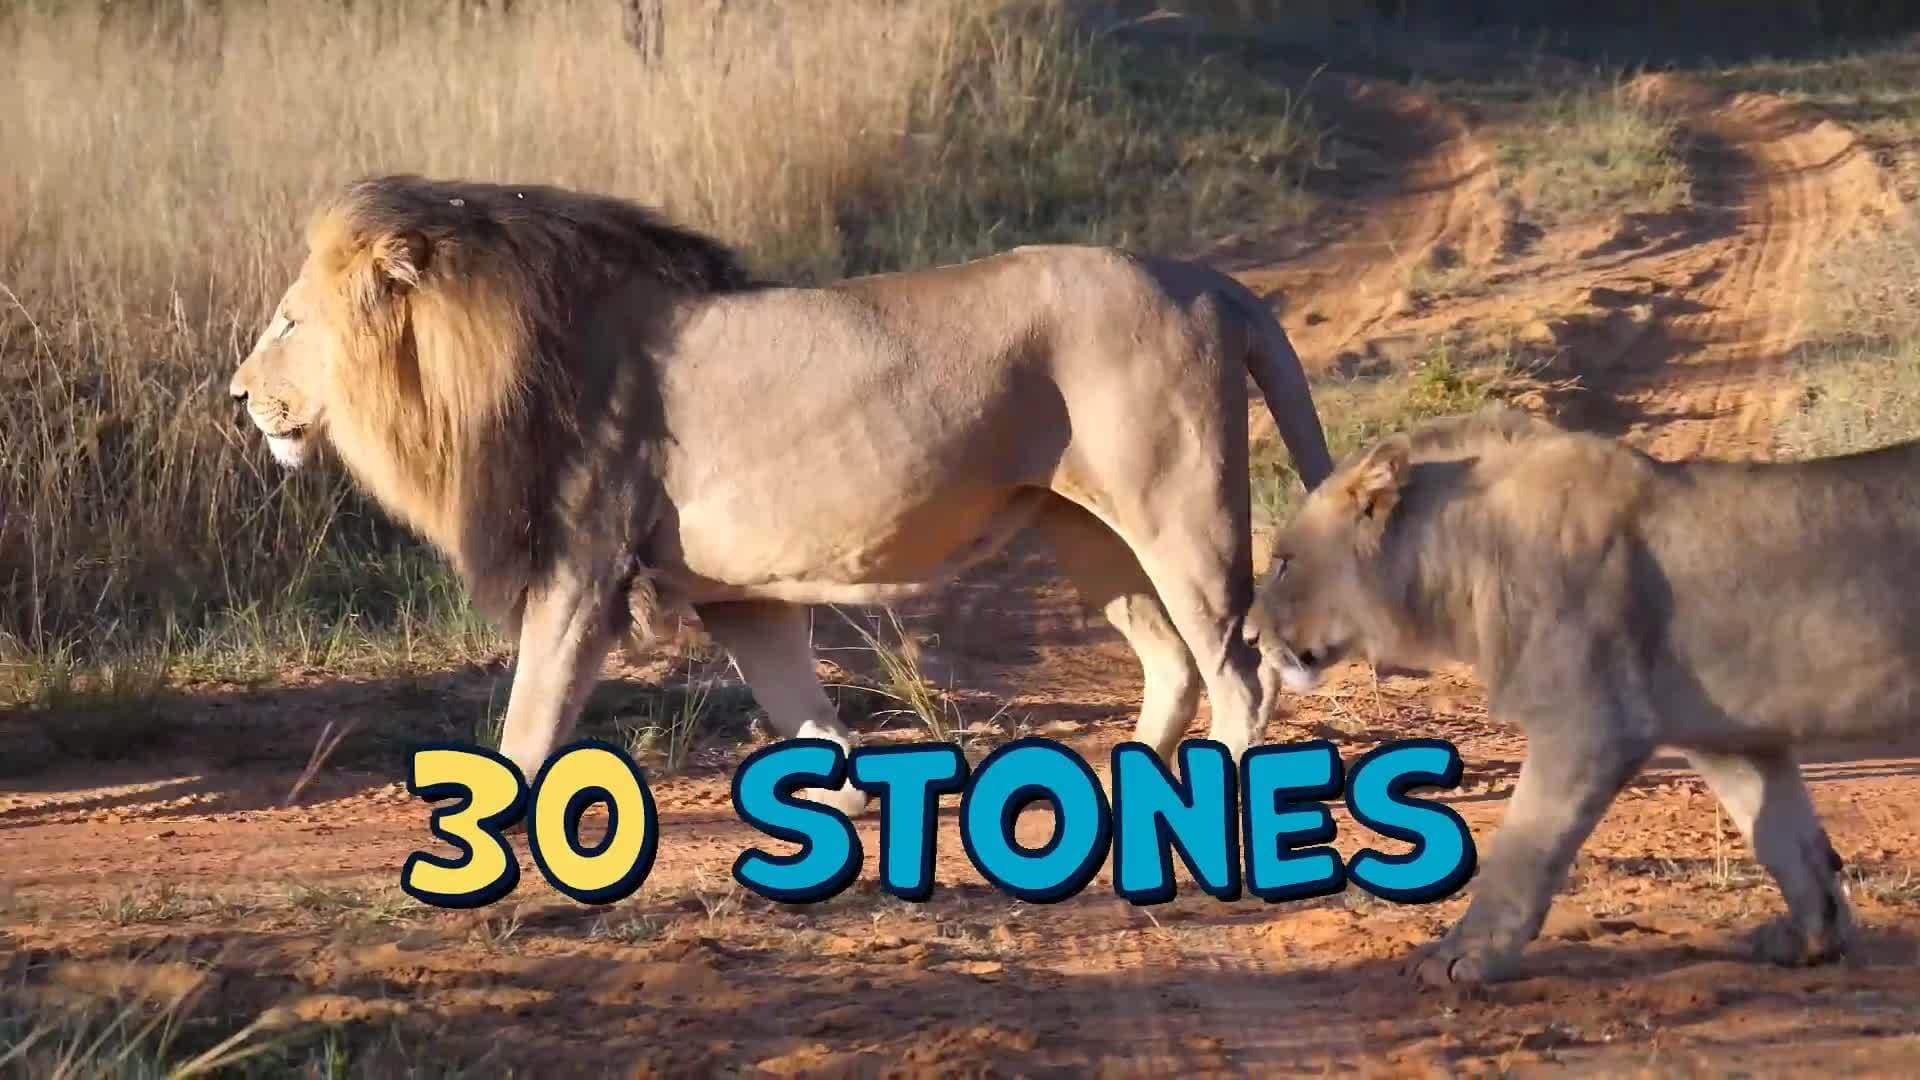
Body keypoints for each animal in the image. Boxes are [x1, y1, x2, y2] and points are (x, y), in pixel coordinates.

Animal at [230, 174, 1334, 813]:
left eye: (287, 323)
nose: (236, 395)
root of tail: (1204, 279)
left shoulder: (581, 573)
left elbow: (530, 725)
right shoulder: (736, 594)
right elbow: (809, 721)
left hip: (1178, 507)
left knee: (1239, 672)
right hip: (1085, 529)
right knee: (1172, 663)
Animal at [1244, 403, 1920, 985]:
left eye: (1283, 561)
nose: (1248, 635)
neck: (1459, 559)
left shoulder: (1586, 725)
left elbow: (1522, 850)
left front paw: (1460, 958)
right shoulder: (1729, 736)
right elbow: (1785, 840)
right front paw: (1811, 940)